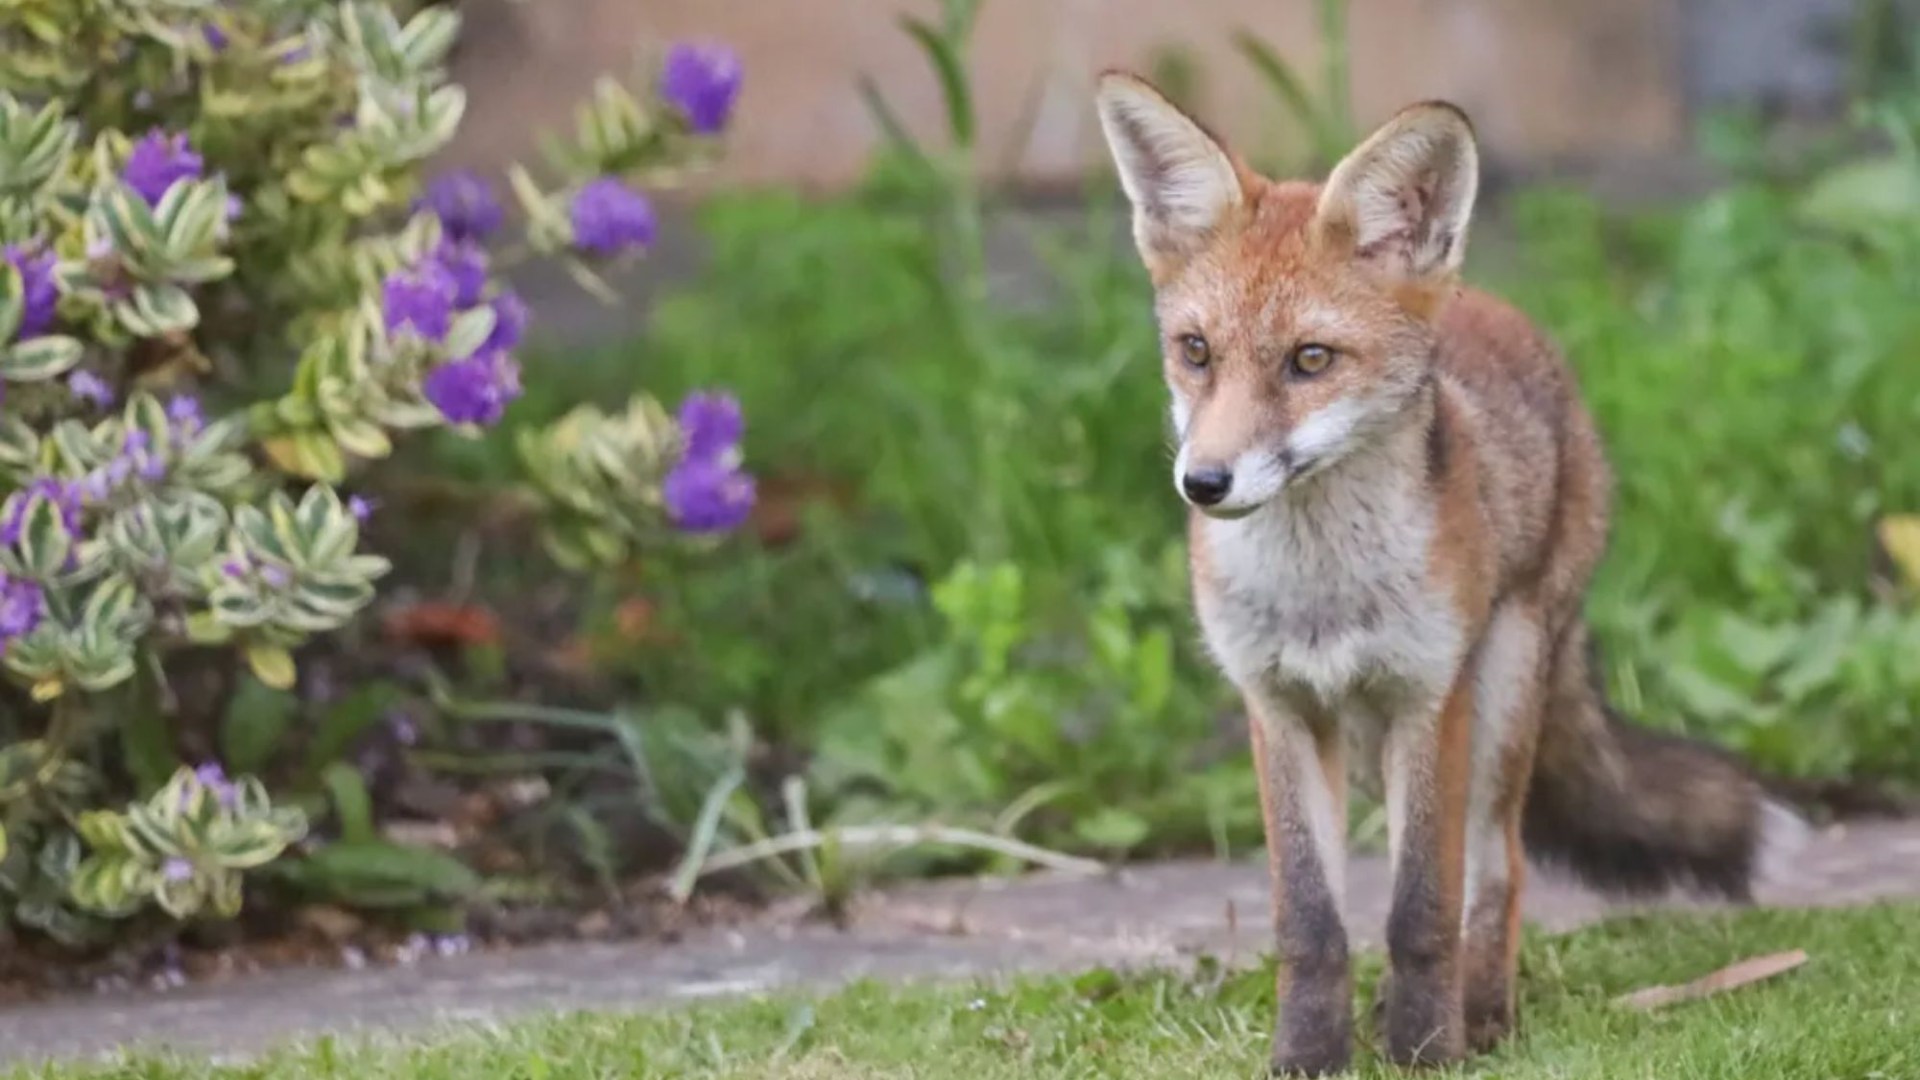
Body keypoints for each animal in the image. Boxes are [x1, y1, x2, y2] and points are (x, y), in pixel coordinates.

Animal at [1090, 71, 1804, 1068]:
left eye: (1310, 360)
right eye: (1195, 351)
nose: (1205, 483)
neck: (1325, 594)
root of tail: (1493, 306)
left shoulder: (1430, 695)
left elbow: (1423, 905)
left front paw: (1428, 1049)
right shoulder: (1279, 708)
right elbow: (1309, 920)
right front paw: (1308, 1057)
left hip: (1499, 691)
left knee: (1496, 868)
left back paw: (1484, 1014)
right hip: (1372, 739)